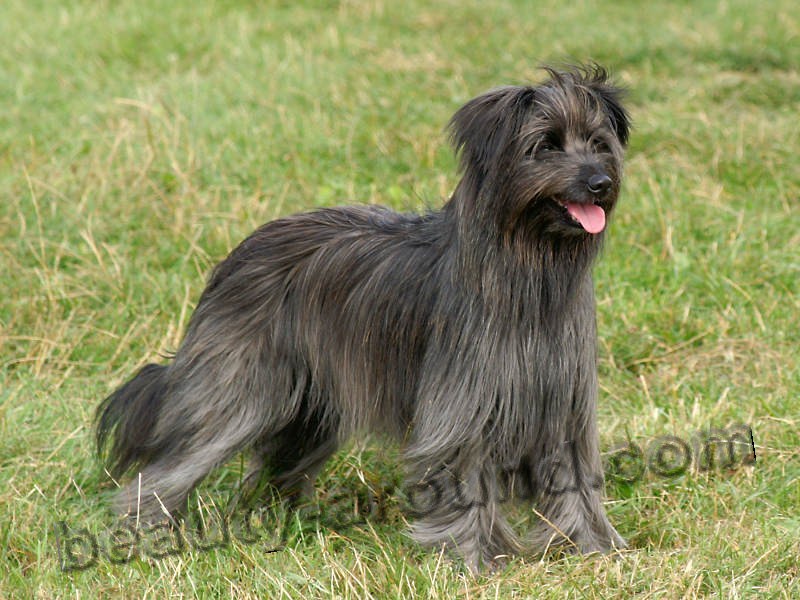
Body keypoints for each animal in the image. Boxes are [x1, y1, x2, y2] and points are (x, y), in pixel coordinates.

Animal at [95, 65, 632, 572]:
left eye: (598, 143)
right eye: (546, 145)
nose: (601, 183)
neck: (529, 274)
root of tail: (238, 255)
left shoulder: (564, 408)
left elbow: (577, 482)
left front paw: (593, 548)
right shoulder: (461, 413)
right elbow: (464, 481)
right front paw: (471, 559)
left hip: (308, 407)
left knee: (278, 462)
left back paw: (280, 518)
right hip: (238, 389)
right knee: (171, 466)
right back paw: (149, 532)